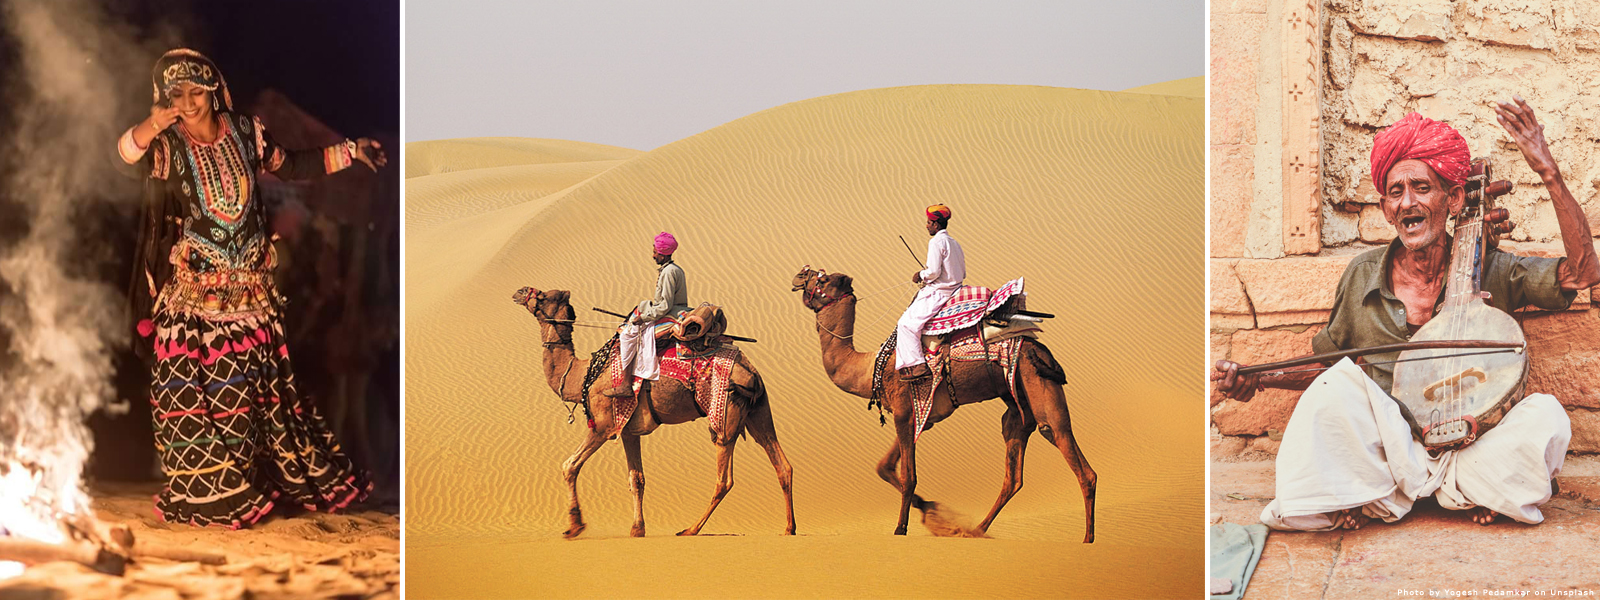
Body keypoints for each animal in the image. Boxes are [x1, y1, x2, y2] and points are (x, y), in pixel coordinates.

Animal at [515, 288, 796, 540]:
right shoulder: (627, 430)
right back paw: (789, 528)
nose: (519, 292)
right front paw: (637, 529)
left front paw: (574, 526)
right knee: (782, 464)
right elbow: (637, 479)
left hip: (724, 413)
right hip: (759, 411)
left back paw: (690, 529)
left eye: (543, 296)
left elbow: (570, 466)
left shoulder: (603, 425)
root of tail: (752, 374)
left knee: (724, 479)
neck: (581, 375)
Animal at [790, 267, 1094, 540]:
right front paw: (932, 511)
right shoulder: (918, 416)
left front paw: (902, 527)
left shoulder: (903, 409)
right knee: (1014, 474)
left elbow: (908, 475)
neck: (868, 367)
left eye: (822, 279)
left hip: (1037, 384)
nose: (800, 275)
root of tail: (1041, 349)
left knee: (1068, 450)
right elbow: (885, 467)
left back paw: (1087, 538)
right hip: (1017, 407)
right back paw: (976, 530)